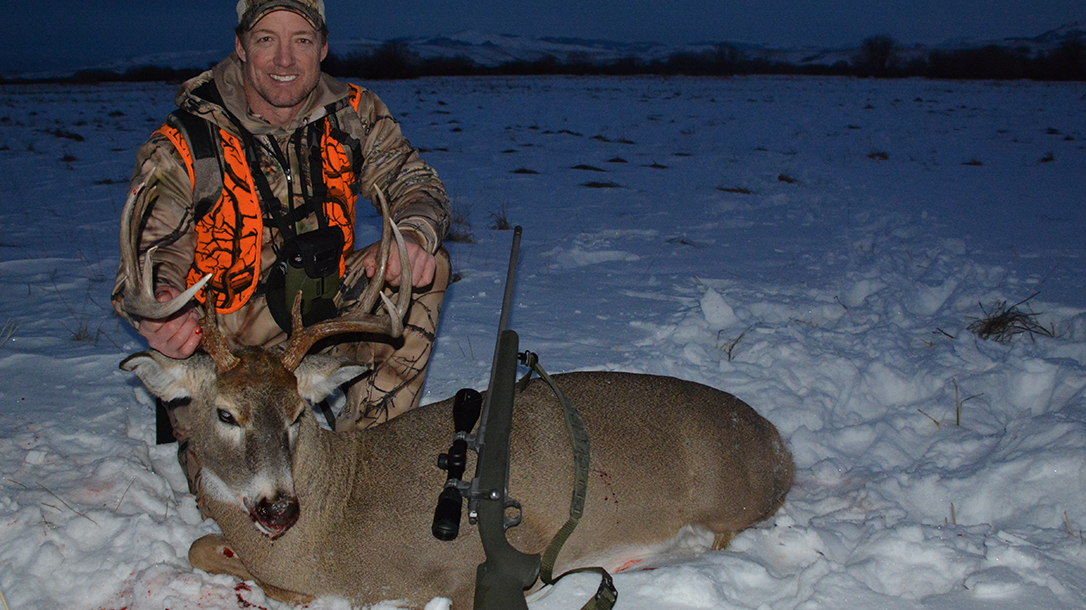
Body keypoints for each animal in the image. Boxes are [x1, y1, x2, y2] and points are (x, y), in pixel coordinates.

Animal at [118, 187, 794, 608]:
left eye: (295, 414)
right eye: (224, 413)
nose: (278, 508)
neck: (333, 526)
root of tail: (779, 445)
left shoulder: (457, 571)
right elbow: (200, 545)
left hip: (727, 503)